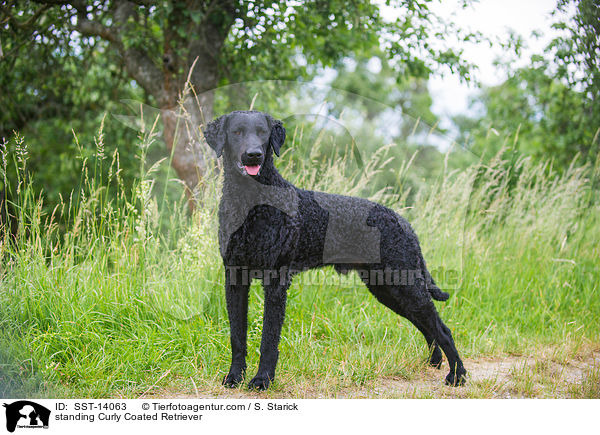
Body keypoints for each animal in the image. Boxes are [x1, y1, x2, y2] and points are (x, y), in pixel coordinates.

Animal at [204, 110, 466, 390]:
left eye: (263, 133)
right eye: (237, 132)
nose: (254, 155)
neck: (251, 203)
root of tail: (404, 222)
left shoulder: (275, 281)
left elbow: (269, 339)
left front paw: (263, 379)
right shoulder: (234, 278)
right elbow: (237, 336)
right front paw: (235, 376)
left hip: (402, 283)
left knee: (442, 329)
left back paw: (457, 375)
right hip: (387, 288)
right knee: (427, 325)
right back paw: (435, 362)